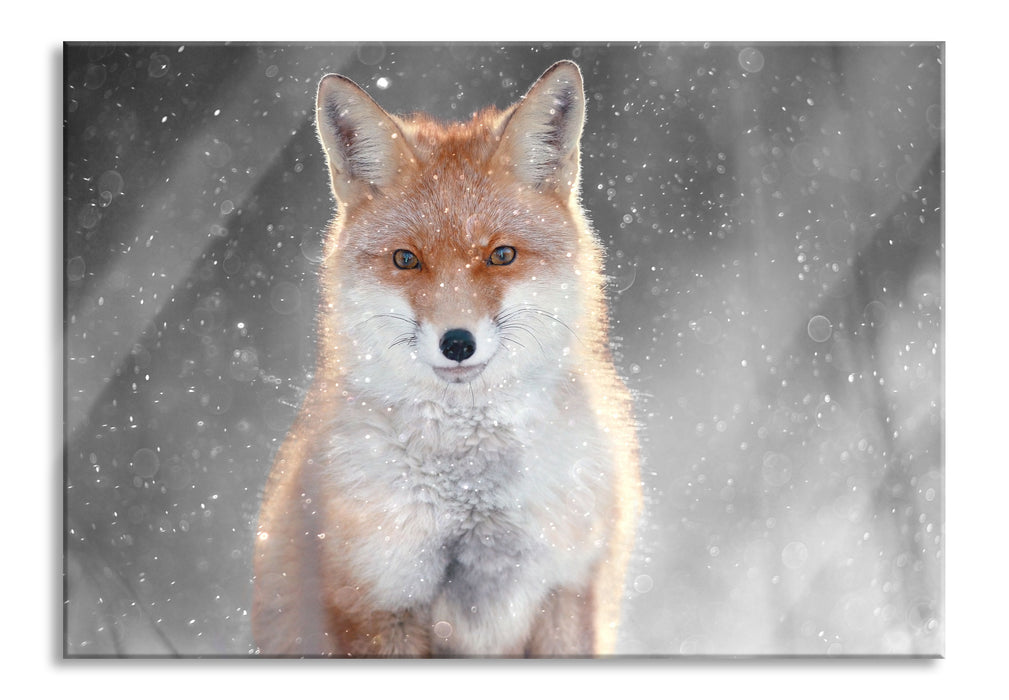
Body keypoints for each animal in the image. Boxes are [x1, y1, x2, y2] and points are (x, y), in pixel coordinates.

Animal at [252, 60, 641, 657]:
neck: (471, 495)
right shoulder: (378, 600)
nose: (457, 343)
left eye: (501, 254)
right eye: (405, 260)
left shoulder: (569, 587)